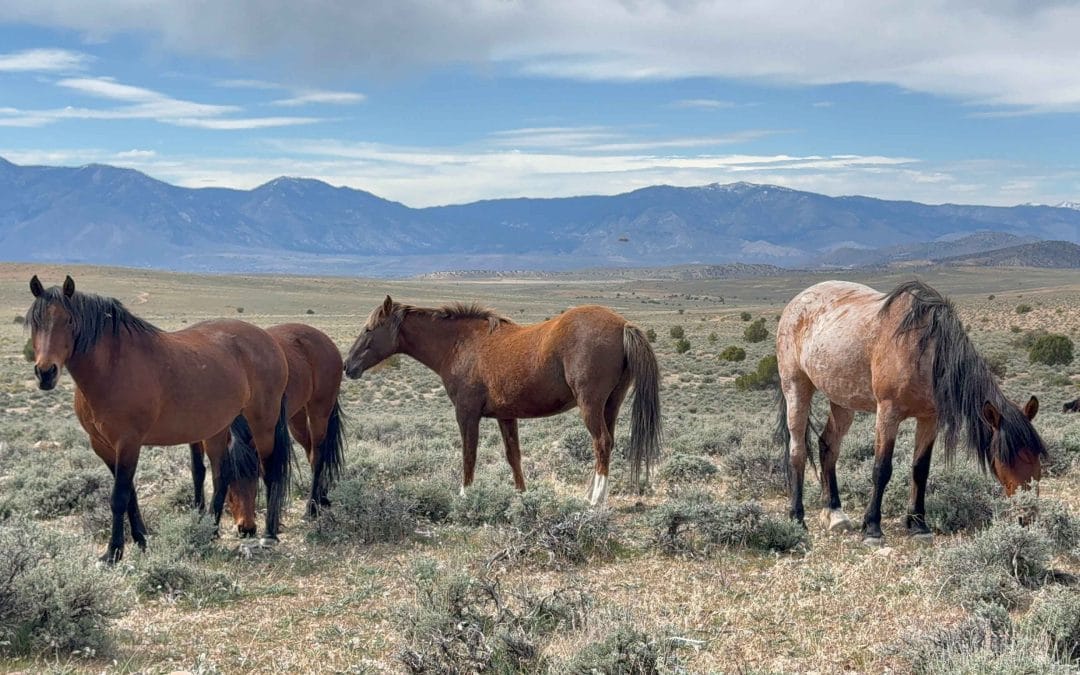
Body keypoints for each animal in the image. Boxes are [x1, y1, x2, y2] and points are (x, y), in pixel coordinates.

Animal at [27, 275, 293, 562]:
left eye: (69, 320)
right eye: (34, 322)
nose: (45, 372)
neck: (113, 367)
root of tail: (269, 341)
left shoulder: (128, 443)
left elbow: (119, 497)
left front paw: (113, 552)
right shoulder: (103, 446)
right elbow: (130, 495)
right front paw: (140, 540)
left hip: (263, 422)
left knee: (270, 471)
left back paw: (268, 535)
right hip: (217, 428)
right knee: (222, 476)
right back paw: (210, 531)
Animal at [190, 323, 346, 530]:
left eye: (254, 475)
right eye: (231, 479)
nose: (246, 528)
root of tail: (326, 340)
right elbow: (198, 470)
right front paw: (198, 515)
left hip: (319, 411)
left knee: (319, 455)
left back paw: (311, 508)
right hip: (297, 418)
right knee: (312, 453)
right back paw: (322, 498)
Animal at [343, 297, 661, 505]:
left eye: (369, 329)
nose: (348, 366)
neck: (460, 345)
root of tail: (623, 324)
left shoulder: (467, 414)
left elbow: (469, 454)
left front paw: (465, 495)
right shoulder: (506, 416)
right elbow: (513, 456)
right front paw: (522, 495)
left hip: (590, 406)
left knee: (602, 443)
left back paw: (595, 501)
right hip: (610, 405)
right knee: (607, 444)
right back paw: (589, 493)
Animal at [776, 279, 1046, 546]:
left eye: (1038, 457)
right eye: (1004, 457)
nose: (1028, 517)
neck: (925, 353)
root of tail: (795, 303)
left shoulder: (929, 419)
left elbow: (920, 469)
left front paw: (918, 525)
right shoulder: (888, 413)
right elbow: (881, 469)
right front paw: (872, 528)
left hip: (842, 401)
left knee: (828, 446)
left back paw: (834, 513)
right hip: (796, 388)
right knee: (798, 452)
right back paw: (797, 518)